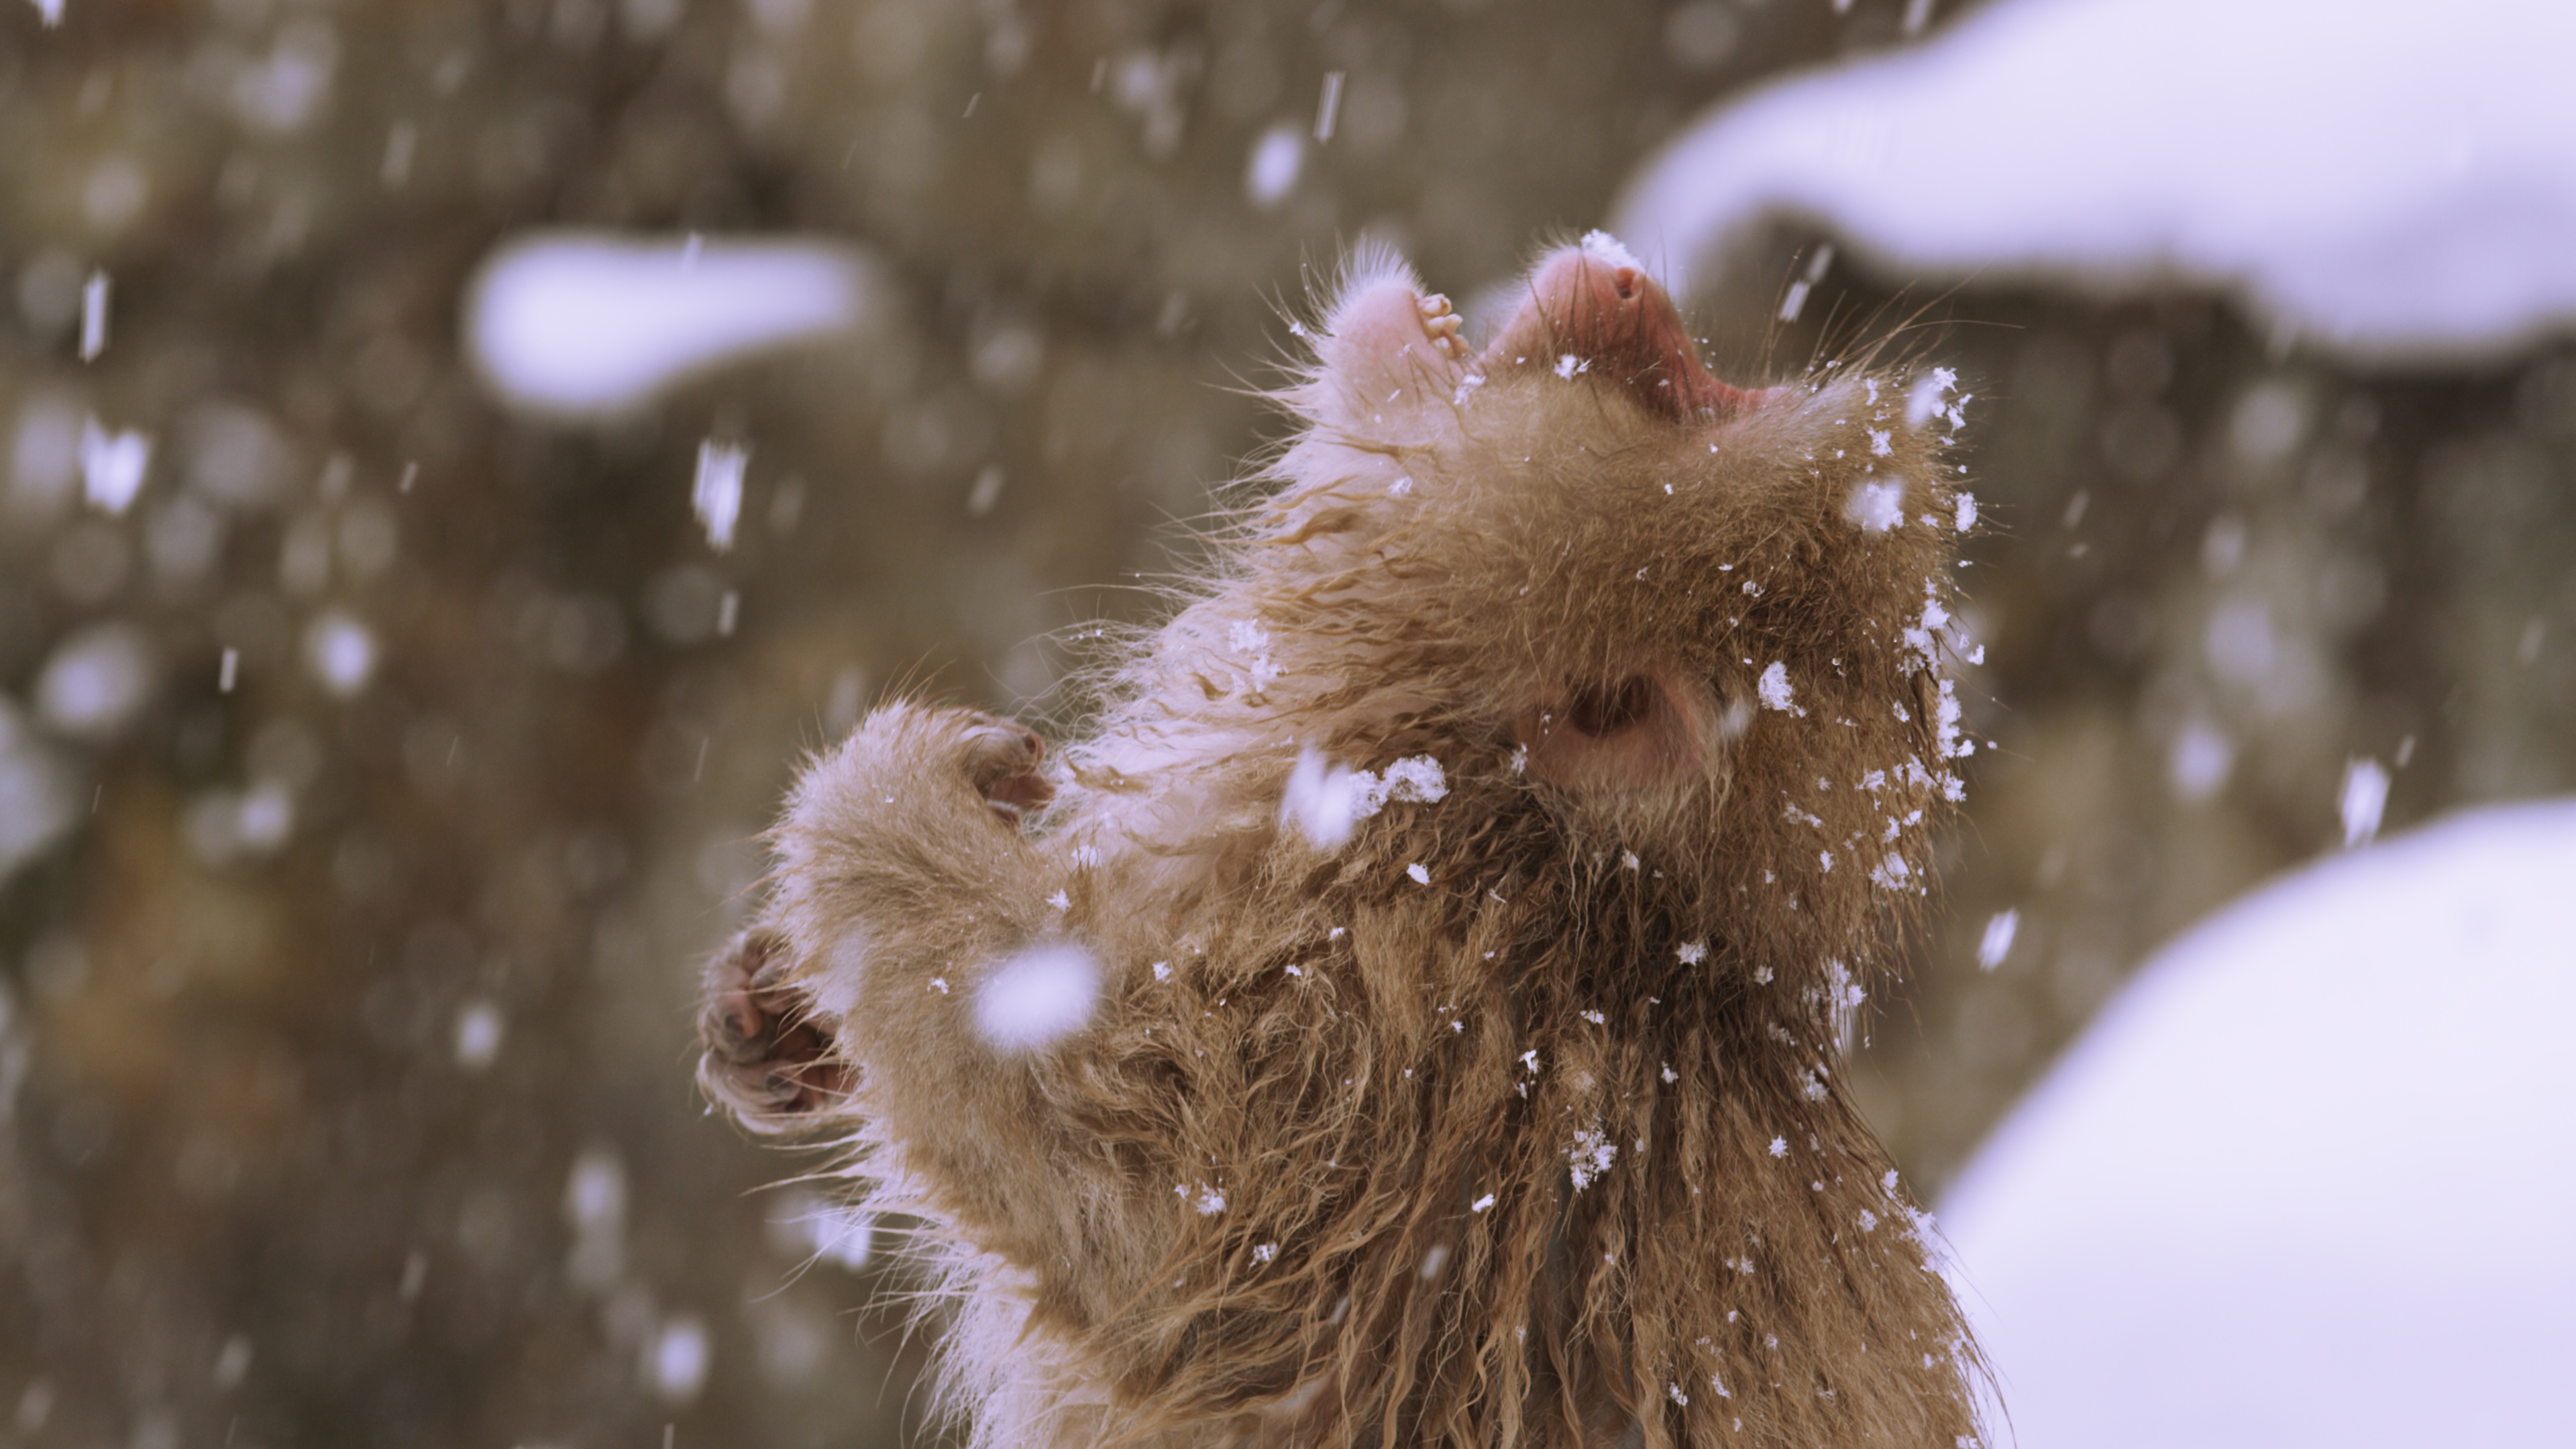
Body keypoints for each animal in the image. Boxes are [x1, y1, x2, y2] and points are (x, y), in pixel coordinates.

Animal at [698, 232, 1989, 1449]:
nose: (1629, 286)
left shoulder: (1384, 1042)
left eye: (1674, 392)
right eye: (1709, 385)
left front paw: (882, 798)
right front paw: (767, 1017)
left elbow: (1128, 1174)